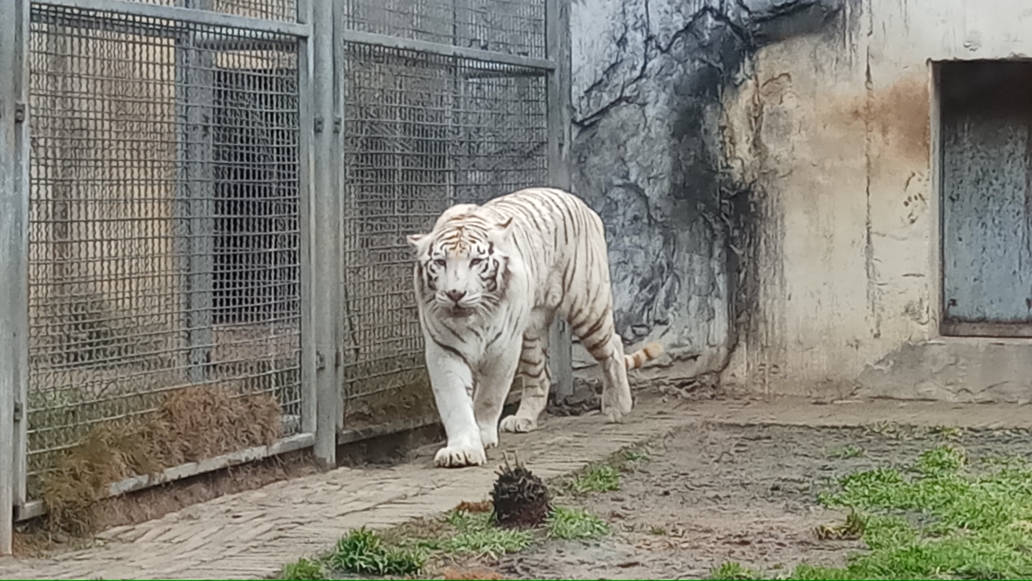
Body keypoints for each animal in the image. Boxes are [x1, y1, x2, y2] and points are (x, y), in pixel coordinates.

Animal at [402, 188, 660, 470]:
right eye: (439, 262)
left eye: (476, 261)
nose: (455, 293)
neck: (473, 319)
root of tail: (577, 201)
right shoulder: (444, 350)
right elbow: (455, 402)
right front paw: (462, 450)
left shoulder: (502, 349)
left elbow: (489, 397)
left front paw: (482, 435)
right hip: (531, 331)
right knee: (541, 375)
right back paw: (523, 419)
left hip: (586, 307)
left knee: (612, 345)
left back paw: (618, 406)